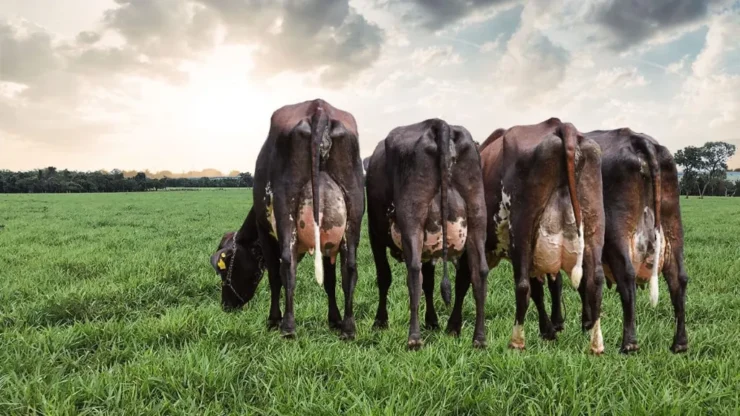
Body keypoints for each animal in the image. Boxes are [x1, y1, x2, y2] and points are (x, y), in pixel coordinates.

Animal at [210, 99, 365, 340]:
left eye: (225, 270)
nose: (226, 305)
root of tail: (318, 108)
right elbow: (330, 280)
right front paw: (334, 320)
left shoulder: (265, 231)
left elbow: (275, 277)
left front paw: (273, 320)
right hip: (353, 211)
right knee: (349, 268)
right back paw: (348, 328)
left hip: (286, 212)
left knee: (287, 266)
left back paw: (288, 327)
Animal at [365, 118, 489, 350]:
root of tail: (440, 124)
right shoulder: (430, 245)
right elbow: (430, 283)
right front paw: (432, 322)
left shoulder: (374, 234)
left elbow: (384, 276)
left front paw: (380, 321)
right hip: (478, 215)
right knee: (479, 272)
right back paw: (479, 338)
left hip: (411, 219)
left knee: (414, 273)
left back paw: (414, 338)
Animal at [451, 117, 607, 354]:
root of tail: (560, 126)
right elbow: (542, 289)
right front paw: (549, 329)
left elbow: (462, 282)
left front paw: (453, 327)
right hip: (593, 225)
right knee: (594, 281)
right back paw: (596, 342)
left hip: (522, 230)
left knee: (523, 285)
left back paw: (517, 340)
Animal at [545, 128, 689, 353]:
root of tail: (639, 140)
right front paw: (586, 323)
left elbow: (558, 282)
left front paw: (560, 324)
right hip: (673, 227)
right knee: (678, 278)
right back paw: (679, 343)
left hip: (616, 233)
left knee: (627, 277)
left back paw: (628, 343)